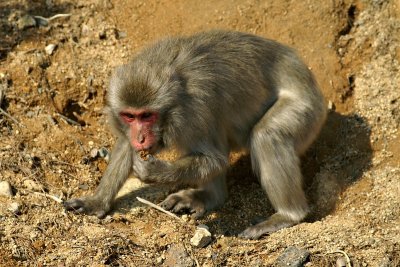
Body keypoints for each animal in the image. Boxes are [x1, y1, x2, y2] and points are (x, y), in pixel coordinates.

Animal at [64, 30, 326, 240]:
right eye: (130, 116)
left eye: (147, 116)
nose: (140, 138)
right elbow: (126, 146)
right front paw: (97, 202)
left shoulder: (194, 113)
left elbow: (217, 160)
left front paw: (156, 172)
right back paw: (211, 197)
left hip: (307, 109)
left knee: (266, 134)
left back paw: (287, 215)